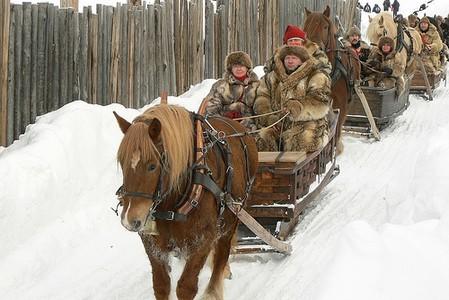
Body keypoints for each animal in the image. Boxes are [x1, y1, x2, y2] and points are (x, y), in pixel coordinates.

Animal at [114, 103, 258, 300]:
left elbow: (186, 287)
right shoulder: (152, 242)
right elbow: (161, 285)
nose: (129, 219)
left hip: (233, 216)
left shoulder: (203, 239)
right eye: (122, 162)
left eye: (152, 166)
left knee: (222, 253)